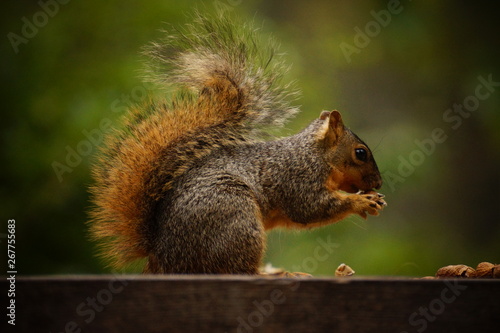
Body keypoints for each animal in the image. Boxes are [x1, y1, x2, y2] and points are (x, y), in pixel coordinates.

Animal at [89, 11, 386, 274]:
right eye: (361, 153)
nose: (379, 183)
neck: (316, 155)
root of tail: (162, 256)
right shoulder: (297, 178)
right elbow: (311, 208)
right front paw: (362, 202)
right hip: (236, 218)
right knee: (239, 269)